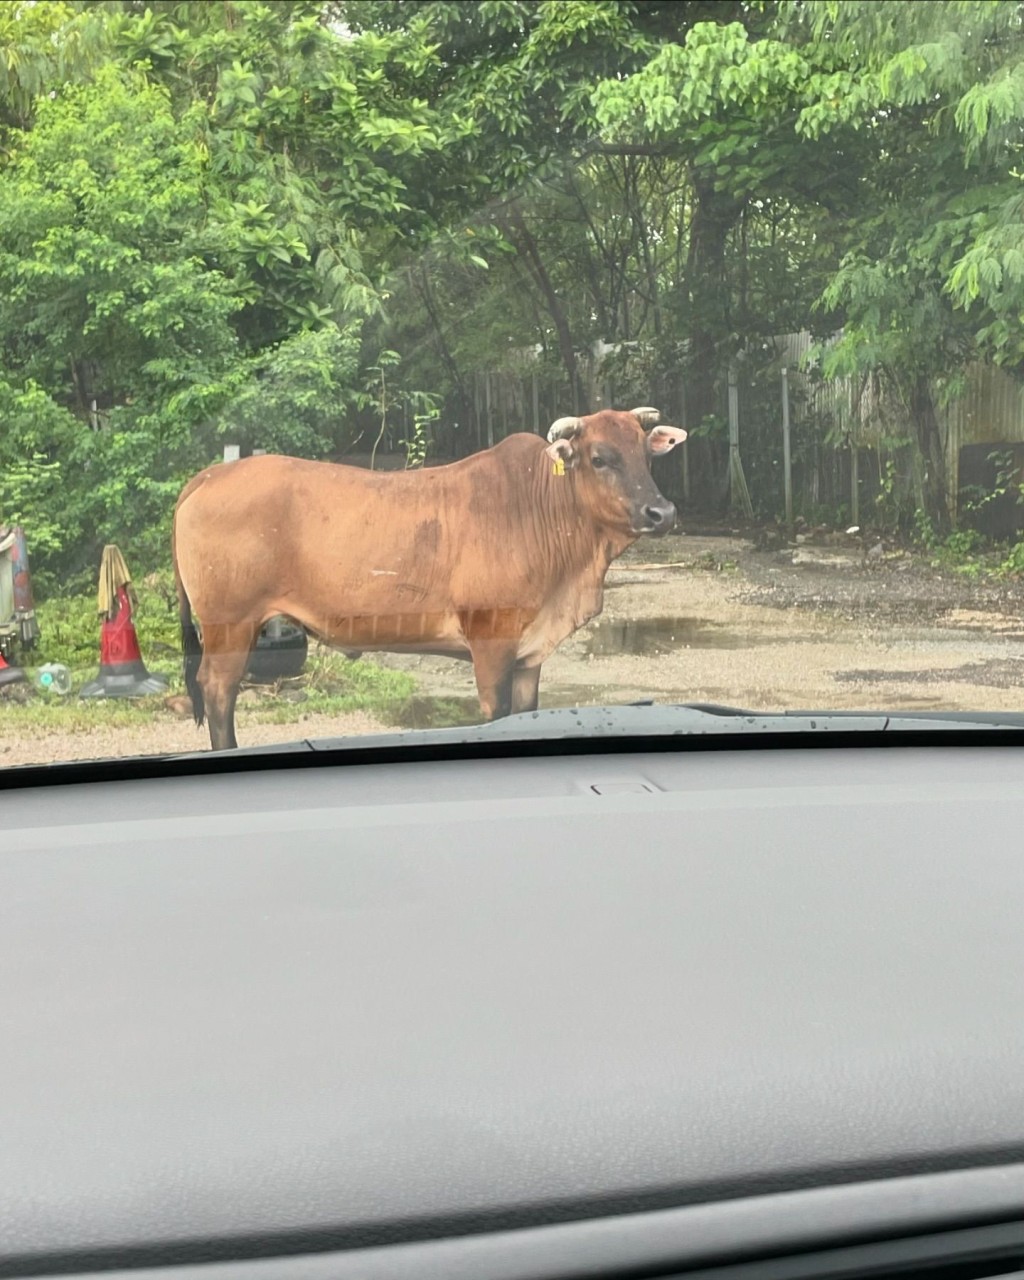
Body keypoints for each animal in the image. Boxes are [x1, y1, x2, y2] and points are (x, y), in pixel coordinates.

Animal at [174, 407, 686, 747]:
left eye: (646, 456)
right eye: (600, 458)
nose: (661, 512)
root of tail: (210, 475)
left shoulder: (529, 654)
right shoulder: (491, 644)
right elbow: (497, 714)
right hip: (230, 624)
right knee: (218, 691)